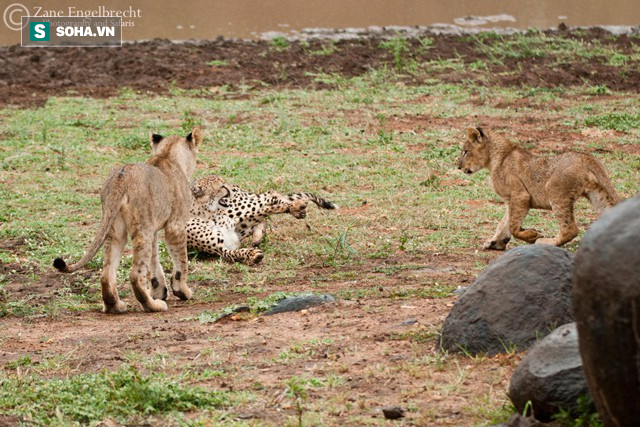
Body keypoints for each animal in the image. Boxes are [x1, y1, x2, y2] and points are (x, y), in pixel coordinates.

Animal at [186, 175, 338, 264]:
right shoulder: (223, 248)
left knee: (269, 196)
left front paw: (294, 206)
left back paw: (296, 207)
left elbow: (266, 208)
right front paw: (252, 255)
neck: (206, 214)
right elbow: (234, 253)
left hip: (240, 206)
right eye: (221, 186)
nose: (231, 187)